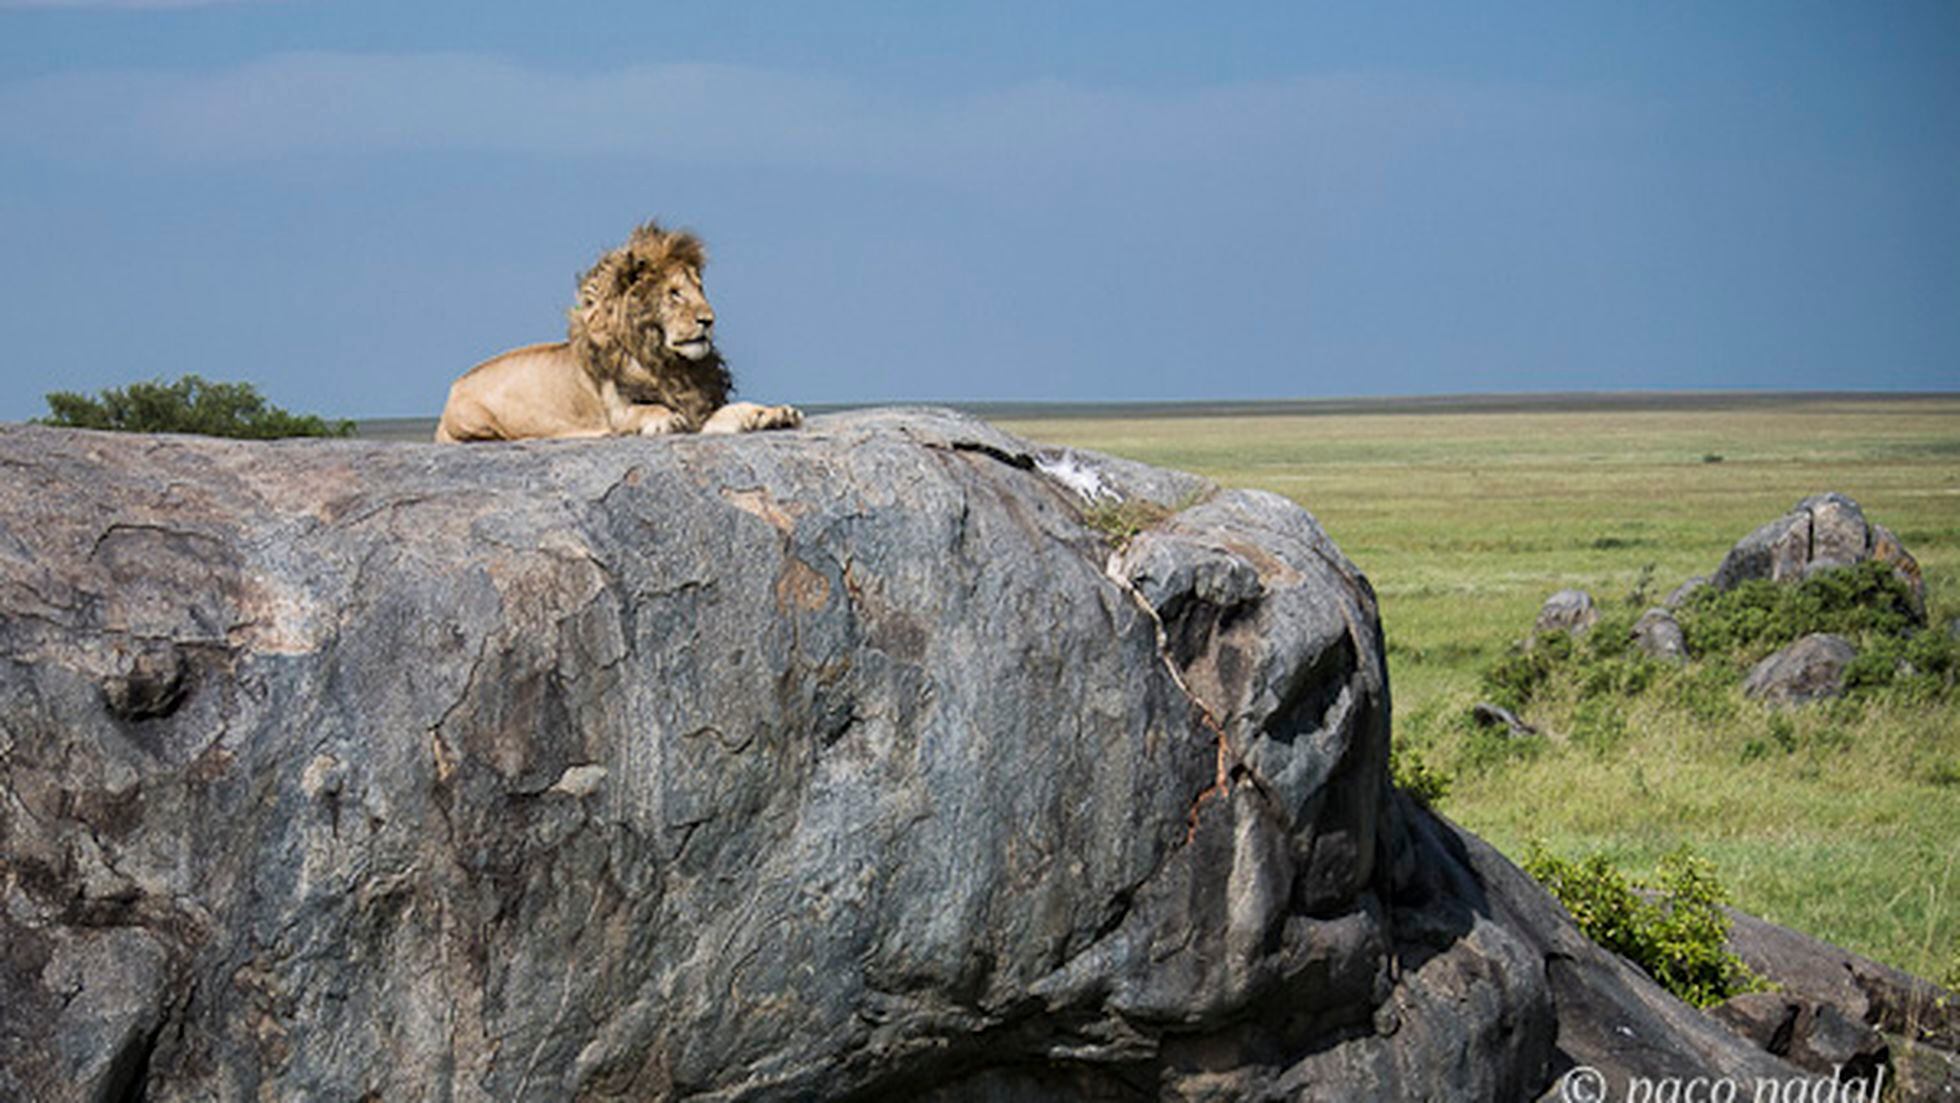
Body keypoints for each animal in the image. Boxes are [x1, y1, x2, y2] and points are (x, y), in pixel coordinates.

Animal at [437, 222, 803, 442]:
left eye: (700, 289)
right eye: (675, 293)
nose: (708, 320)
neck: (666, 362)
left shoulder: (699, 407)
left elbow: (735, 410)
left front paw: (775, 414)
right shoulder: (618, 411)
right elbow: (646, 411)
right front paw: (666, 419)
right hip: (473, 420)